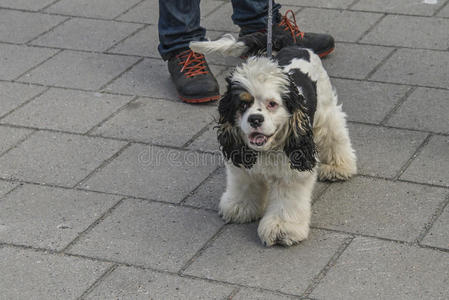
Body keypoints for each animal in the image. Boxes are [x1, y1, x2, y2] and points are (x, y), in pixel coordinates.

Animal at [191, 35, 356, 246]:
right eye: (242, 104)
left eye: (272, 104)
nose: (255, 119)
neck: (267, 149)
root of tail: (293, 45)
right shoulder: (241, 166)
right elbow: (244, 185)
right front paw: (240, 207)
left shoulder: (292, 173)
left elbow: (286, 201)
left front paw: (281, 229)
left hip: (325, 110)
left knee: (334, 133)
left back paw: (338, 166)